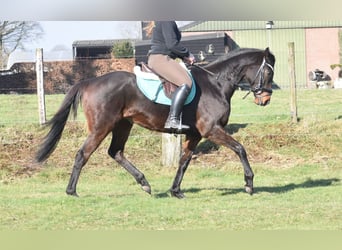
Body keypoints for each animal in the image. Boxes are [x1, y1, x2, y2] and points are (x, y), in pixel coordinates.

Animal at [35, 47, 276, 198]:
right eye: (267, 71)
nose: (265, 100)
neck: (215, 83)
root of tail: (90, 81)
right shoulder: (211, 130)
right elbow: (240, 149)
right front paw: (249, 183)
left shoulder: (195, 134)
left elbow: (184, 161)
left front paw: (176, 191)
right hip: (102, 127)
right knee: (83, 154)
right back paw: (71, 191)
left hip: (123, 125)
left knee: (116, 152)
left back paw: (144, 183)